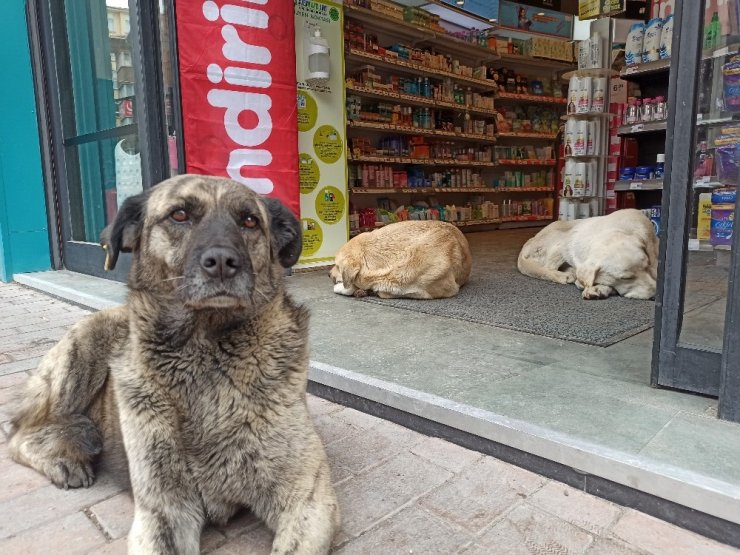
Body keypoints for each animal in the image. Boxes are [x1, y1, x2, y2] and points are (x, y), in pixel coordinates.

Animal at [516, 208, 656, 302]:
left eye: (647, 266)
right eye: (626, 278)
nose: (656, 293)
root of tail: (528, 243)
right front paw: (598, 288)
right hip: (561, 243)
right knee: (549, 268)